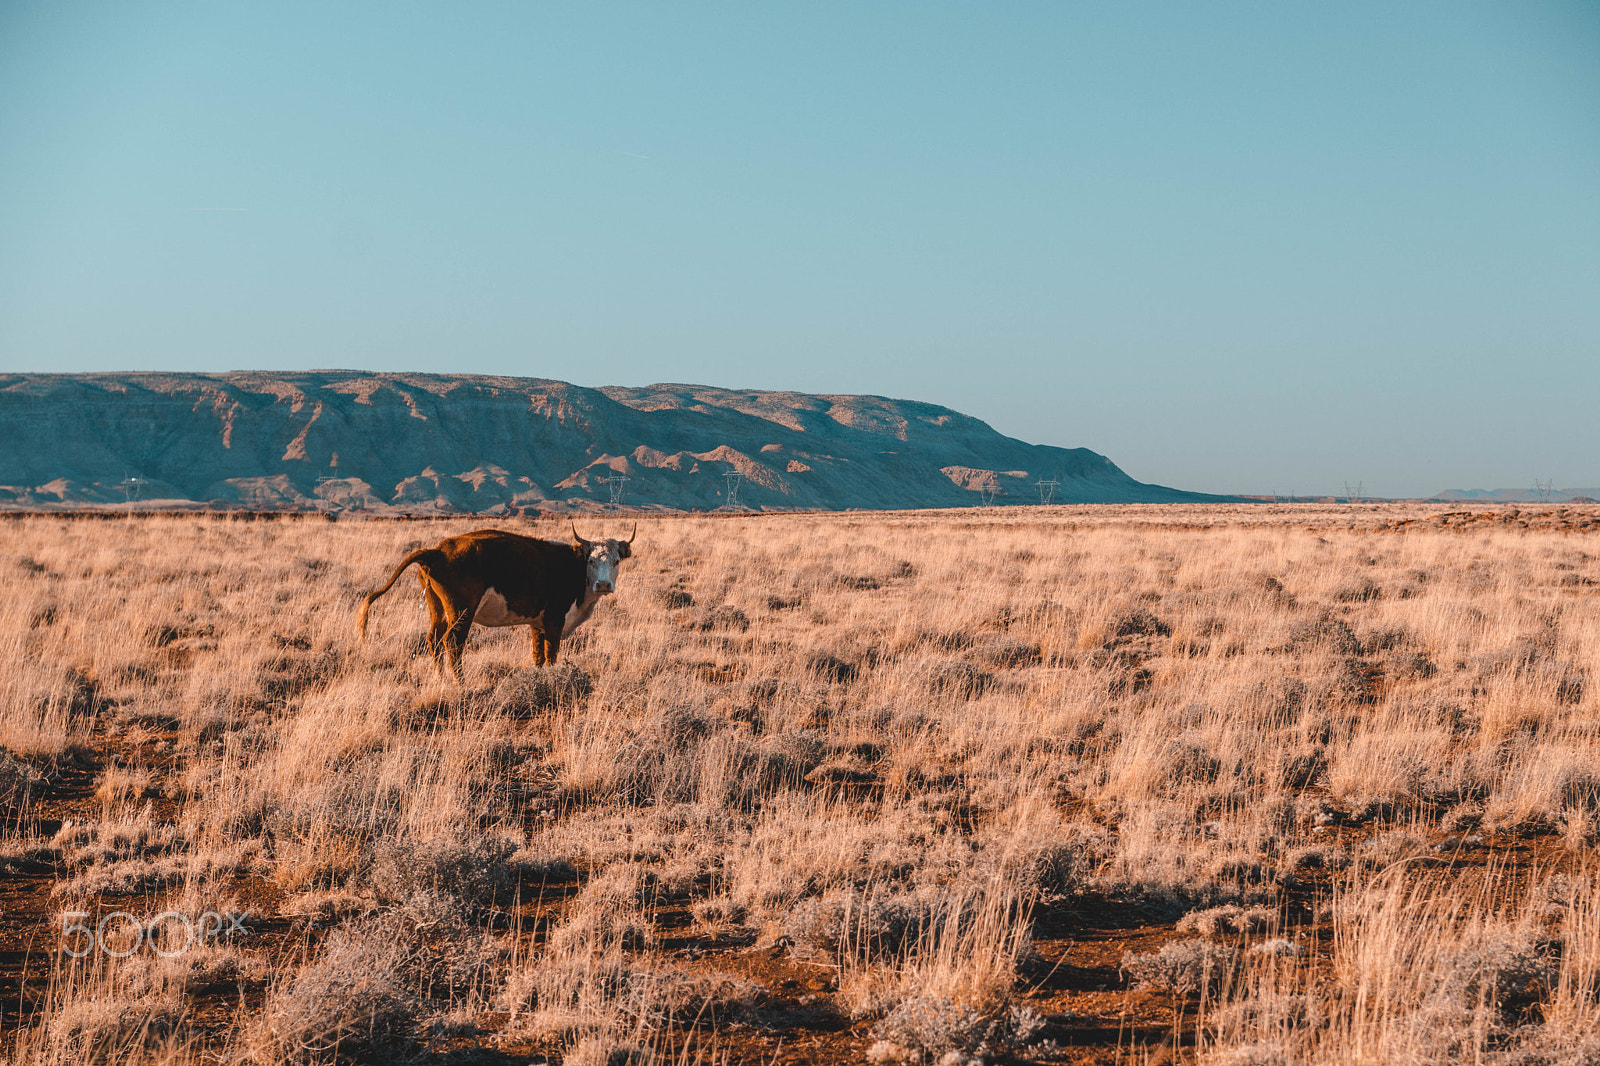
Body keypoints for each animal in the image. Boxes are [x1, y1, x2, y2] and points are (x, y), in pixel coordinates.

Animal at [360, 521, 633, 681]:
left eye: (616, 560)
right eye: (591, 560)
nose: (604, 585)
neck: (574, 567)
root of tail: (438, 550)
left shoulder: (537, 624)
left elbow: (538, 656)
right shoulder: (554, 620)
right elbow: (551, 654)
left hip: (437, 607)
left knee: (433, 638)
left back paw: (441, 678)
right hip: (462, 610)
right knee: (453, 642)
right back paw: (460, 683)